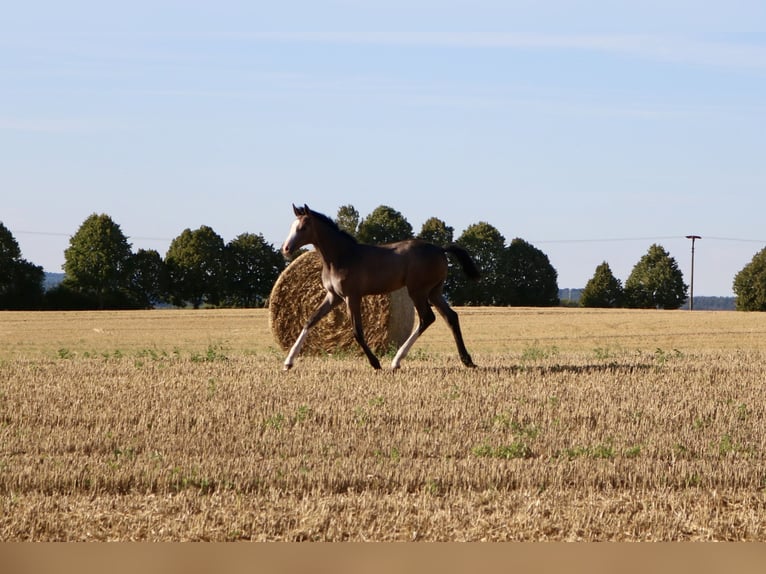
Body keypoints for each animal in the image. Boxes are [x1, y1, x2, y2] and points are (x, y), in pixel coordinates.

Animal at [280, 205, 480, 372]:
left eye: (303, 228)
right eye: (292, 226)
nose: (286, 248)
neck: (341, 257)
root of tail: (440, 249)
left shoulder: (352, 297)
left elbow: (357, 332)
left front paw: (375, 363)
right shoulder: (333, 296)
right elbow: (310, 321)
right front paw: (288, 362)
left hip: (418, 291)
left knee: (427, 318)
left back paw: (396, 361)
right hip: (434, 292)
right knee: (451, 317)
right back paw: (467, 360)